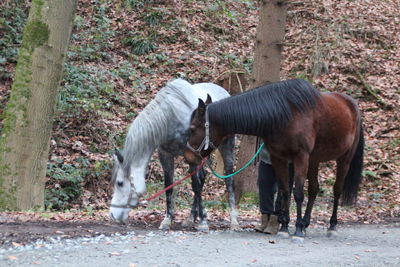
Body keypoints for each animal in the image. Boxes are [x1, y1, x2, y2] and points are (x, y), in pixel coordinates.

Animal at [109, 78, 238, 231]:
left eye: (120, 183)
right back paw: (190, 218)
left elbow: (196, 186)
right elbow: (169, 186)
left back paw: (233, 221)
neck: (171, 117)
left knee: (228, 179)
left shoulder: (192, 157)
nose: (112, 214)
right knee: (202, 178)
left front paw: (203, 222)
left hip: (226, 148)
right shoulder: (166, 155)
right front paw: (167, 220)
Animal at [184, 79, 362, 239]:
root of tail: (351, 104)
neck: (285, 114)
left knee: (337, 190)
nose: (188, 156)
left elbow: (297, 193)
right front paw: (284, 228)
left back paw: (331, 226)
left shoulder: (301, 158)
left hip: (344, 159)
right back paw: (305, 223)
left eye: (192, 128)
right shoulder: (279, 158)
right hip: (314, 160)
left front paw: (297, 230)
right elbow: (285, 191)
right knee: (314, 190)